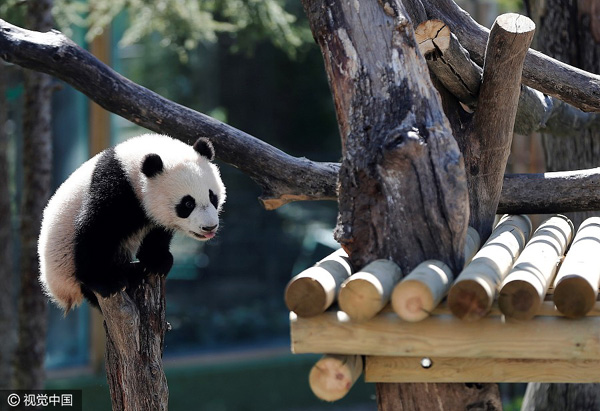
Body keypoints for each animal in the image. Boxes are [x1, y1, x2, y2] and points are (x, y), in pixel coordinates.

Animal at [38, 134, 225, 312]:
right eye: (187, 204)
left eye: (212, 197)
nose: (209, 227)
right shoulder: (114, 187)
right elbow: (96, 230)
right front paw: (105, 281)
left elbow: (157, 231)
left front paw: (157, 262)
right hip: (64, 265)